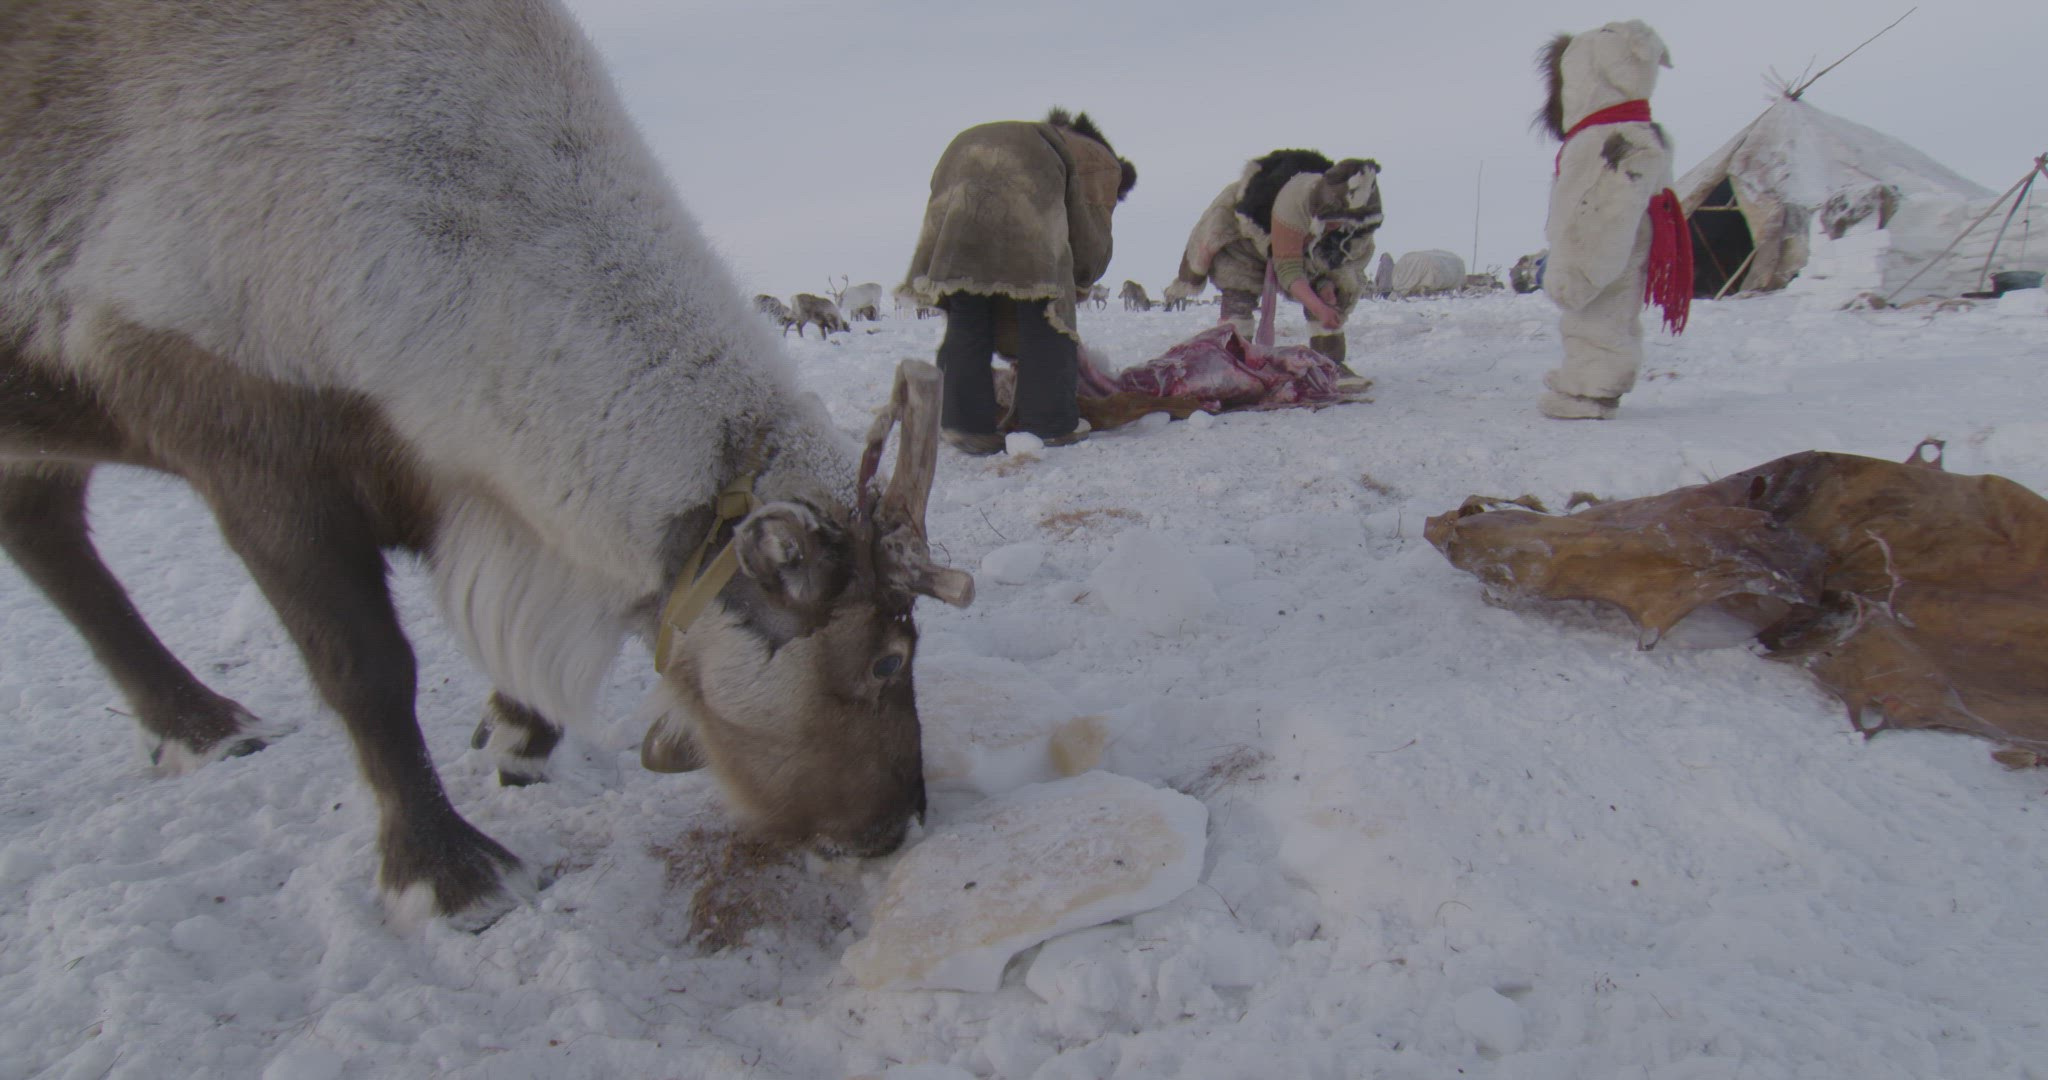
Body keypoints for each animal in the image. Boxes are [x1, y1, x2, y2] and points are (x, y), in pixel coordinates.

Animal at [0, 0, 974, 930]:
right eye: (887, 660)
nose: (901, 823)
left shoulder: (466, 481)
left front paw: (516, 736)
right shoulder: (248, 444)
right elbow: (368, 673)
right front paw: (447, 874)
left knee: (44, 528)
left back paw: (197, 725)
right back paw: (207, 727)